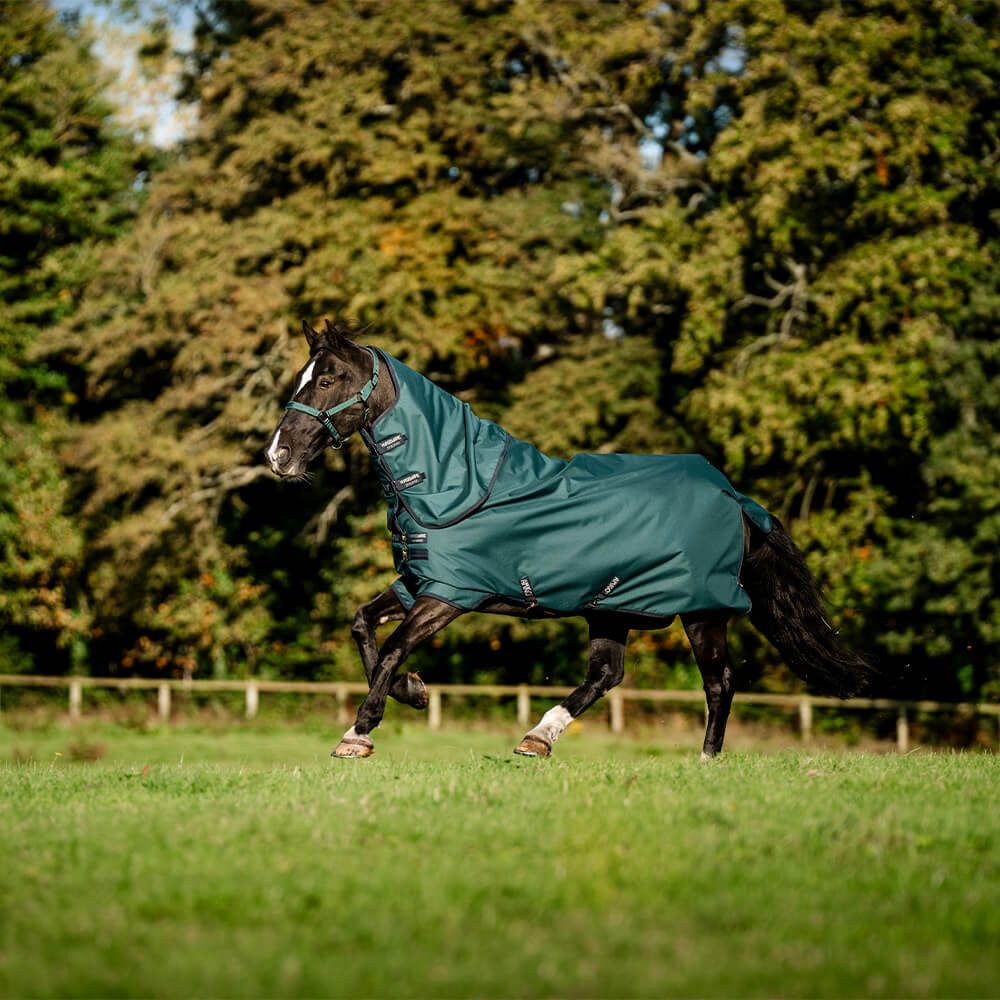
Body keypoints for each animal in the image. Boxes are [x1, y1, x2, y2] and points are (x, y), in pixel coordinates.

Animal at [265, 319, 873, 759]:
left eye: (325, 380)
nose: (278, 455)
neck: (454, 483)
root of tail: (735, 499)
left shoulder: (451, 595)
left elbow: (392, 648)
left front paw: (359, 733)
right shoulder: (418, 581)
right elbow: (363, 626)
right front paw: (414, 693)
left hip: (702, 610)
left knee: (718, 681)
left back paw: (706, 759)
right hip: (613, 606)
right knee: (607, 674)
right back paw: (539, 737)